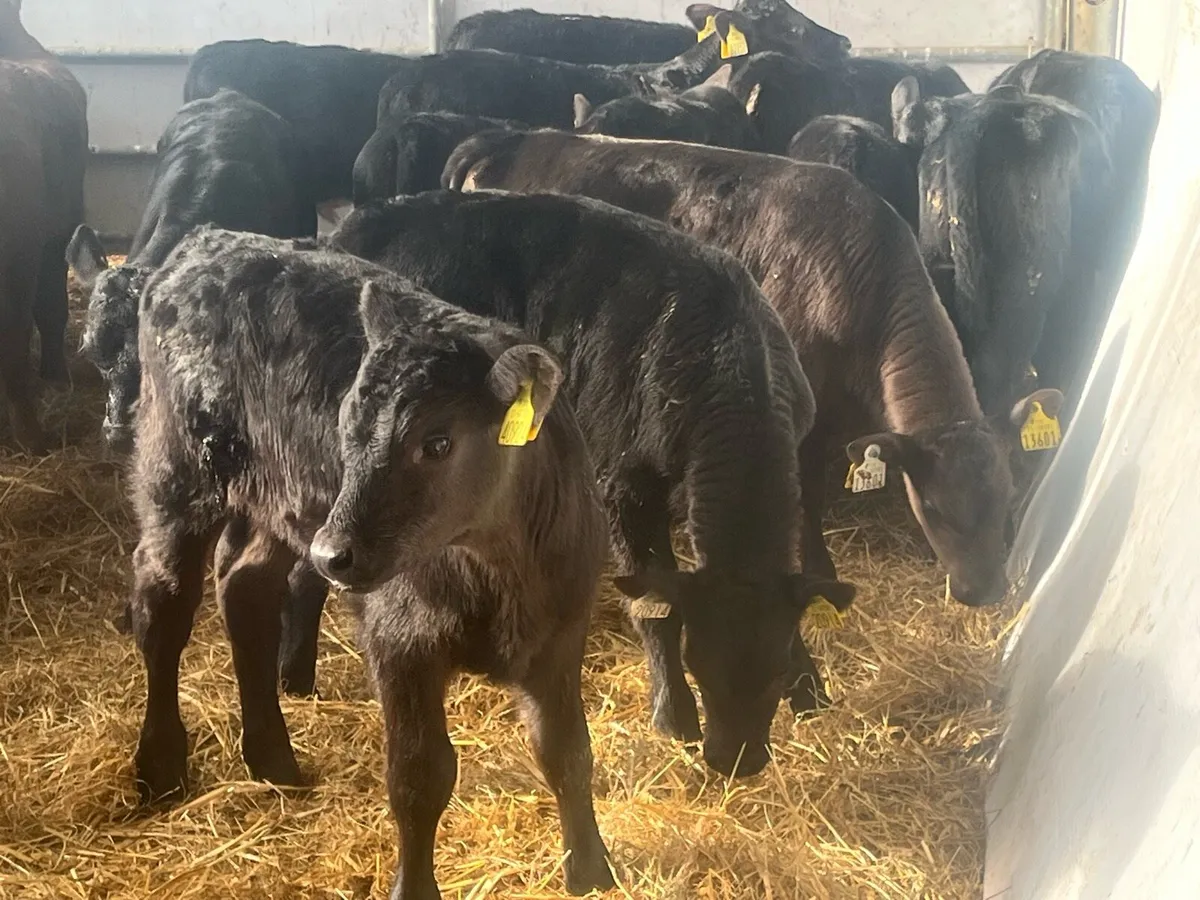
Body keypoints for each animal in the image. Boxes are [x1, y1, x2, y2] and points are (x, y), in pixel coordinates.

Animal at [127, 226, 614, 898]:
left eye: (437, 441)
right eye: (346, 426)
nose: (332, 553)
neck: (498, 568)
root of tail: (206, 242)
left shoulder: (561, 631)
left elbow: (567, 752)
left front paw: (592, 869)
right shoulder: (399, 637)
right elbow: (419, 775)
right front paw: (414, 887)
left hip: (276, 499)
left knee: (246, 589)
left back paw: (273, 759)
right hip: (176, 470)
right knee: (164, 603)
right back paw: (161, 766)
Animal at [328, 190, 856, 777]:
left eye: (776, 668)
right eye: (697, 664)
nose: (734, 760)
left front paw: (810, 688)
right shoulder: (622, 485)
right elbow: (654, 610)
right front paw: (673, 715)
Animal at [444, 129, 1063, 606]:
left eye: (1009, 496)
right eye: (932, 507)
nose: (984, 591)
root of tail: (517, 136)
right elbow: (808, 493)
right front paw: (819, 568)